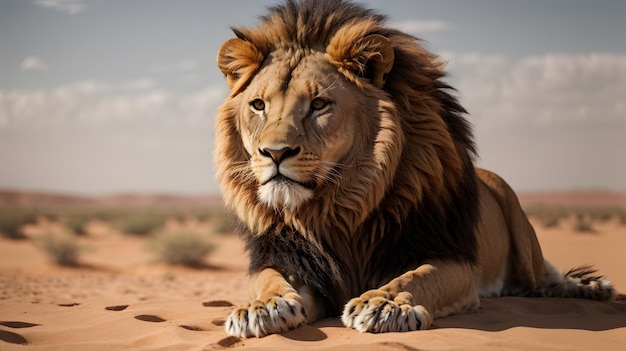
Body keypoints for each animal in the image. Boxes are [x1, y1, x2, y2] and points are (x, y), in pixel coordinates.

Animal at [214, 0, 616, 338]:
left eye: (318, 104)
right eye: (258, 105)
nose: (274, 153)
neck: (340, 207)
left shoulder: (451, 258)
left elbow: (415, 278)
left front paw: (383, 304)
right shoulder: (288, 259)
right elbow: (268, 279)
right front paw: (261, 307)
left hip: (515, 216)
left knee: (542, 278)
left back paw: (591, 288)